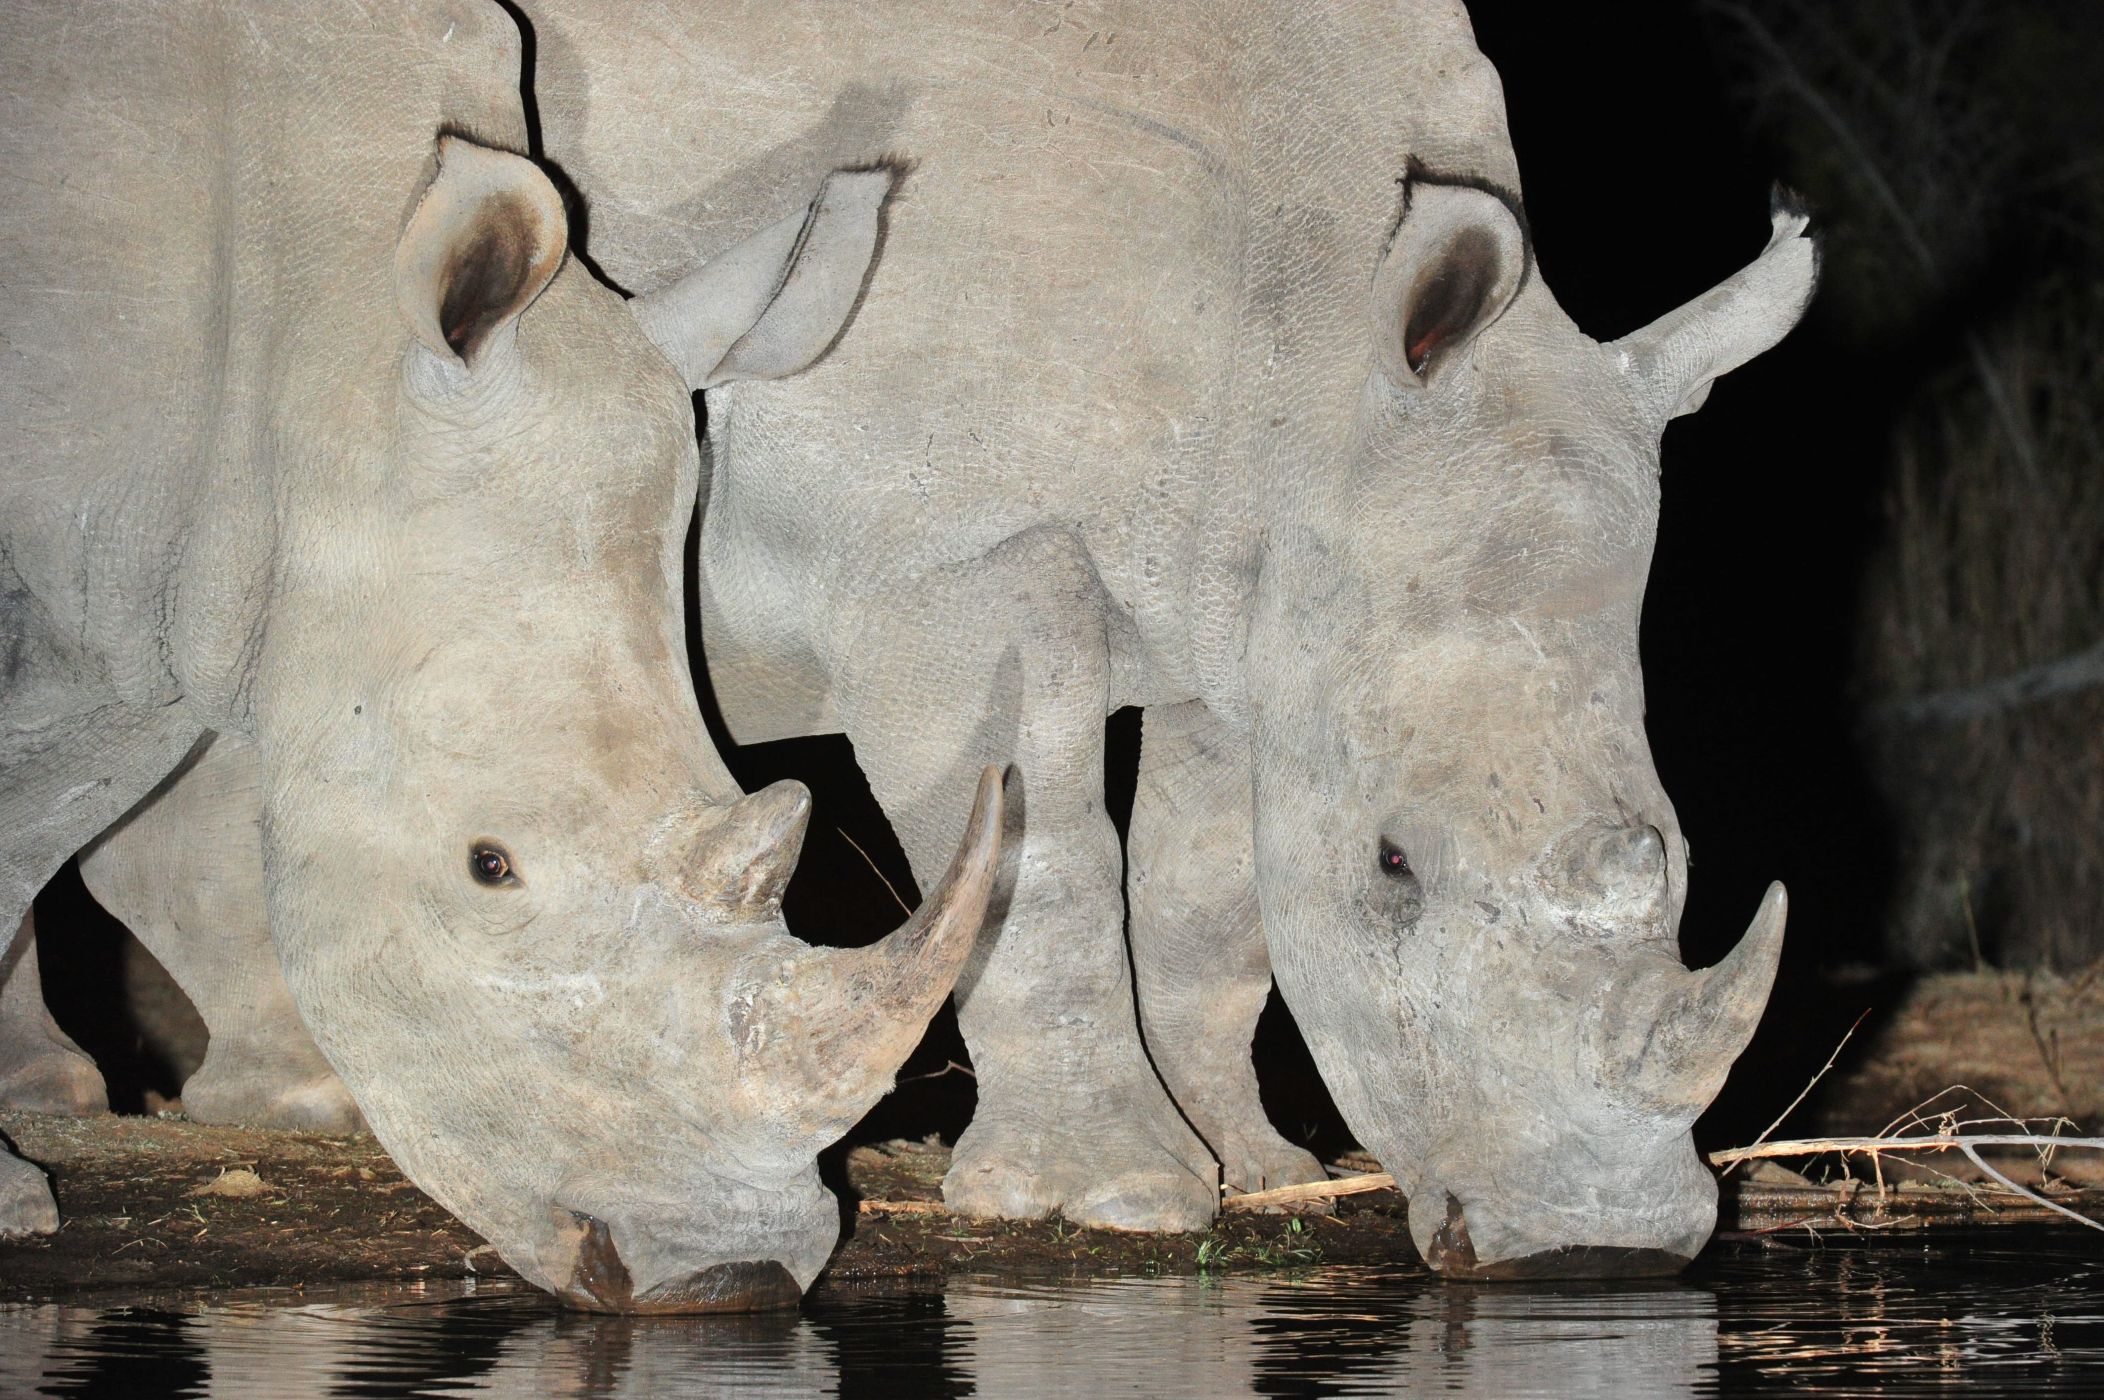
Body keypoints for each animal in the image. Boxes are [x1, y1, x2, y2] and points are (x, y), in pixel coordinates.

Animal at [0, 0, 1003, 1311]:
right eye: (489, 866)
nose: (728, 1281)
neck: (321, 345)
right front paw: (12, 1203)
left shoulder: (149, 568)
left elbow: (41, 806)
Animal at [514, 0, 1816, 1275]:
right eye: (1393, 864)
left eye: (1680, 853)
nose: (1597, 1247)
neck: (1313, 348)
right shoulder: (947, 555)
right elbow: (1043, 859)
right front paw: (1114, 1198)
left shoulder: (1245, 616)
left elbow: (1206, 905)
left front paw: (1257, 1167)